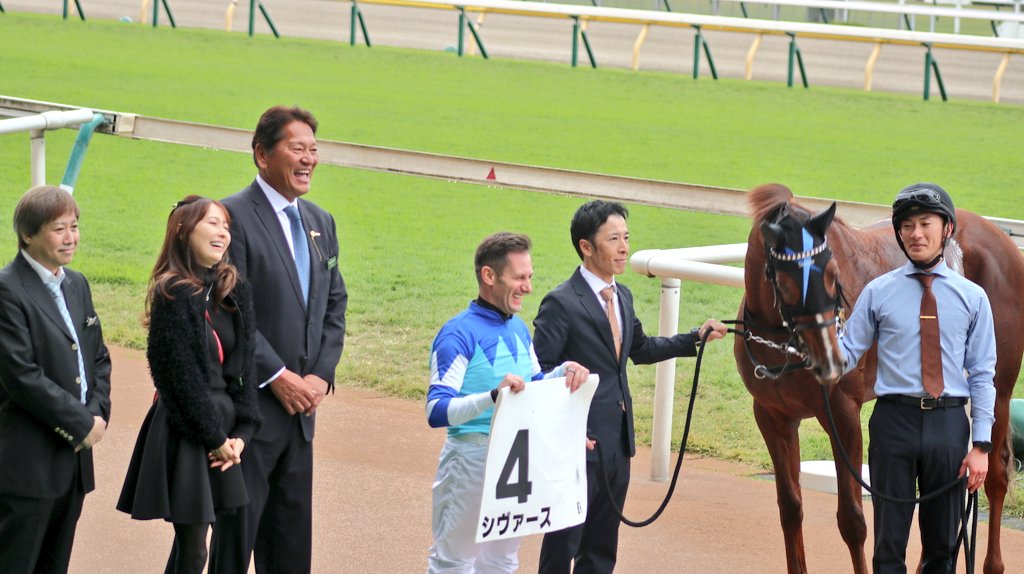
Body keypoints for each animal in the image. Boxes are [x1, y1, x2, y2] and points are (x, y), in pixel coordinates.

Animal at [734, 183, 1024, 574]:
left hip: (999, 391)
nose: (830, 359)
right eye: (784, 280)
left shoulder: (842, 415)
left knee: (995, 477)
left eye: (833, 272)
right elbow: (791, 509)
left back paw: (992, 563)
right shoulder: (772, 416)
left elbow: (853, 520)